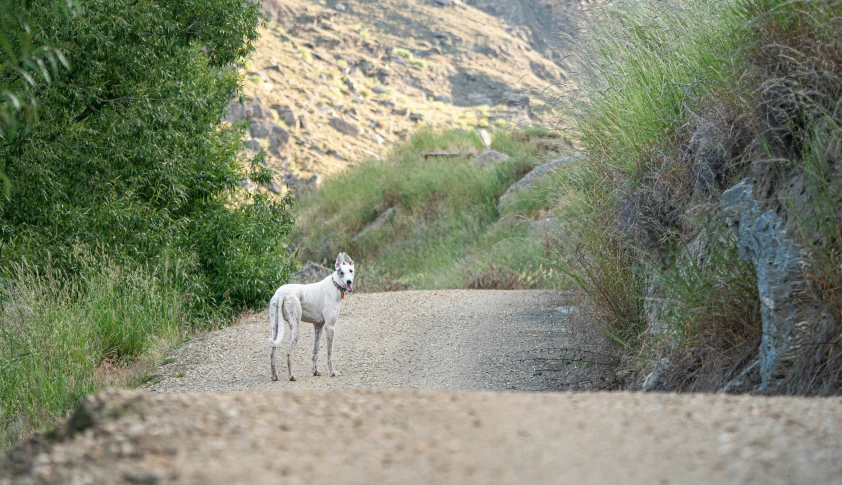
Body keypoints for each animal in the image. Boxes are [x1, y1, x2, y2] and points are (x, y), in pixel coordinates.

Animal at [266, 251, 352, 380]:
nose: (349, 282)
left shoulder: (318, 326)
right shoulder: (330, 327)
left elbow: (315, 352)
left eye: (351, 270)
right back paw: (291, 376)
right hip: (295, 328)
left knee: (272, 353)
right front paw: (332, 372)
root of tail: (282, 293)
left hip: (275, 328)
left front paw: (315, 372)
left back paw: (274, 376)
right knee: (288, 354)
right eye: (341, 272)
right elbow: (329, 354)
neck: (334, 284)